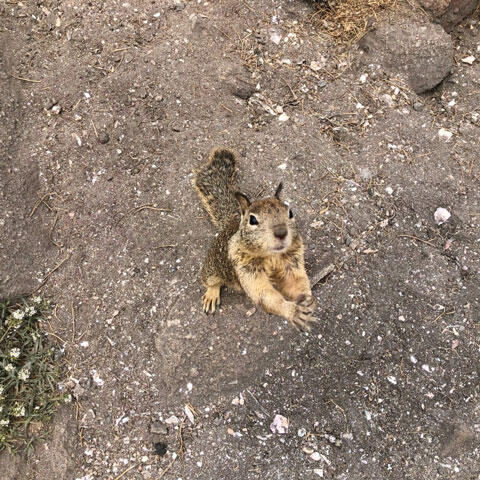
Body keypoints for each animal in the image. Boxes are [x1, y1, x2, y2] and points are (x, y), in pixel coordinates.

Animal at [193, 148, 316, 332]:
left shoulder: (292, 261)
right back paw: (211, 295)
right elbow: (264, 295)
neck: (272, 255)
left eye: (290, 212)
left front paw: (307, 299)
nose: (281, 232)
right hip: (212, 267)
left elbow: (295, 283)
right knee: (210, 281)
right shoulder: (245, 266)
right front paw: (293, 311)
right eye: (252, 220)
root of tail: (232, 222)